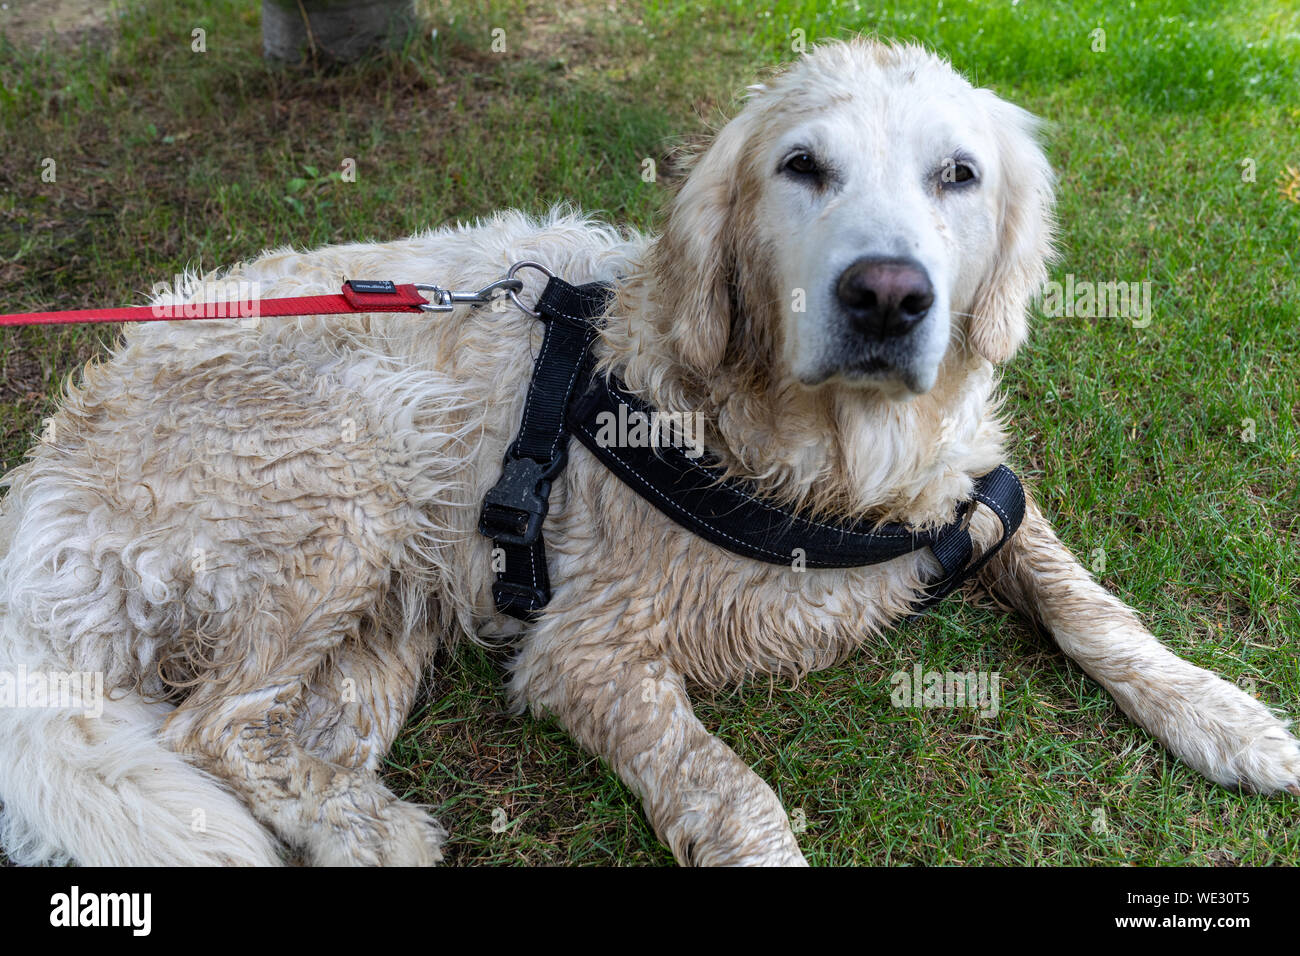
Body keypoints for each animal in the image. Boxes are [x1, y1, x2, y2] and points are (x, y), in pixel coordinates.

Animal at [2, 39, 1300, 868]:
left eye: (959, 175)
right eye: (802, 167)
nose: (887, 295)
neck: (828, 460)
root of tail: (42, 493)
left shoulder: (979, 498)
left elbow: (1093, 606)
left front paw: (1224, 712)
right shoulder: (583, 650)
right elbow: (731, 790)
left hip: (396, 604)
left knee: (286, 733)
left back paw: (353, 825)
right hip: (348, 480)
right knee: (211, 728)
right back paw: (374, 829)